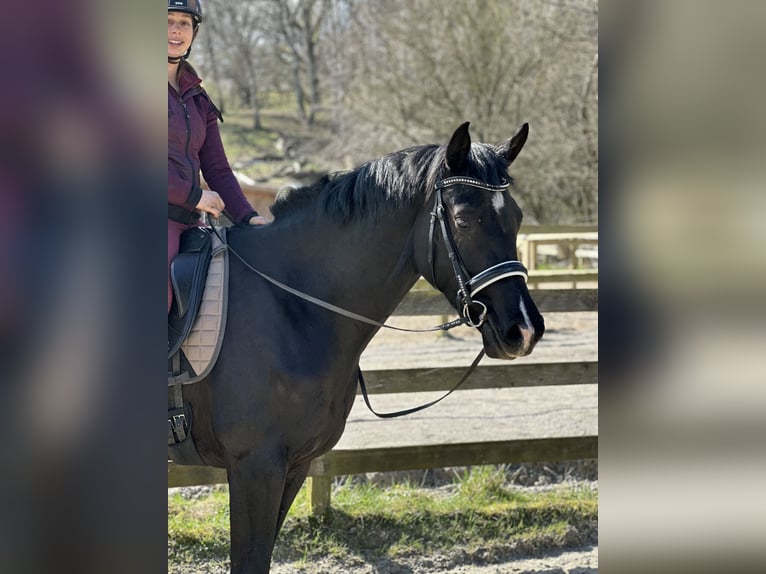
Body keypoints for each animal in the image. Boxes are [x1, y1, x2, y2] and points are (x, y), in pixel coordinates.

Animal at [178, 124, 544, 572]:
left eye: (517, 218)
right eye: (463, 221)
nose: (524, 330)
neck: (290, 304)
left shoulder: (294, 464)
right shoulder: (255, 466)